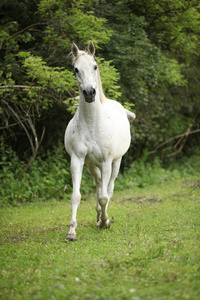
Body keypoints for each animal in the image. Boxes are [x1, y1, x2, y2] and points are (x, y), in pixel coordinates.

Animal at [65, 41, 135, 240]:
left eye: (95, 66)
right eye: (76, 69)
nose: (89, 93)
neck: (91, 123)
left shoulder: (106, 162)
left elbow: (105, 196)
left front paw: (105, 222)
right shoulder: (77, 160)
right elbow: (76, 196)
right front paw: (72, 231)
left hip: (116, 163)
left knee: (108, 189)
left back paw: (102, 218)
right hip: (91, 165)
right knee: (98, 185)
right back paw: (97, 215)